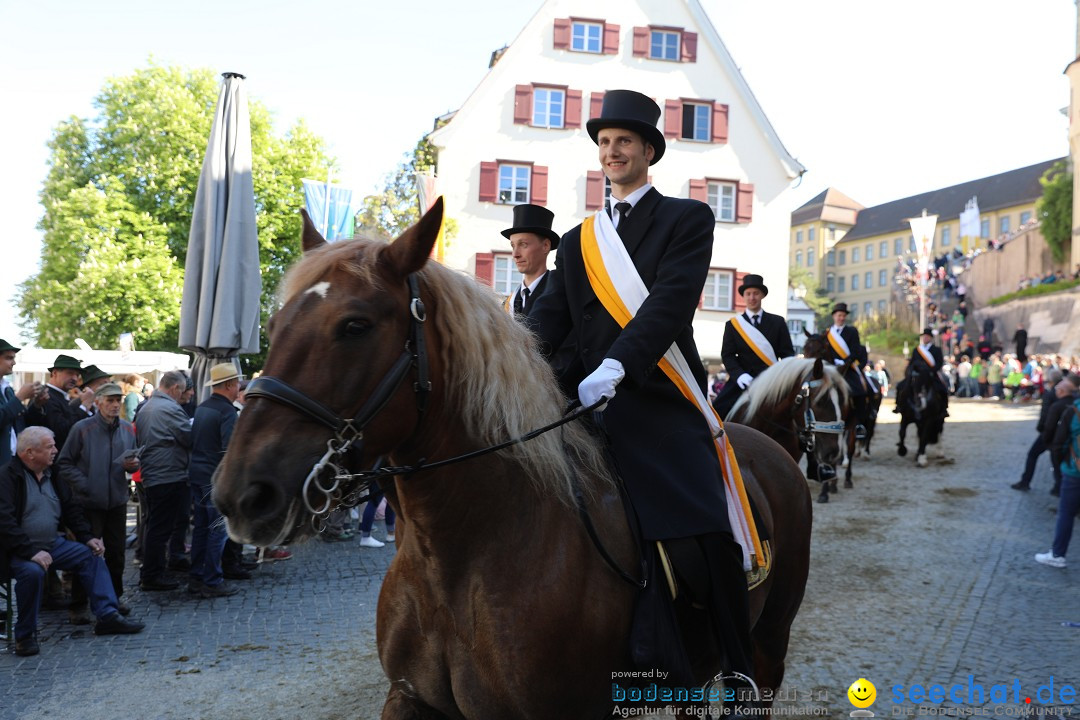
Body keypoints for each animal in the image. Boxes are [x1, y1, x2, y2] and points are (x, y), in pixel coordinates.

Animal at [212, 202, 812, 720]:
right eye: (277, 322)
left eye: (355, 326)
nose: (241, 494)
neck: (461, 552)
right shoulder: (409, 698)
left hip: (766, 646)